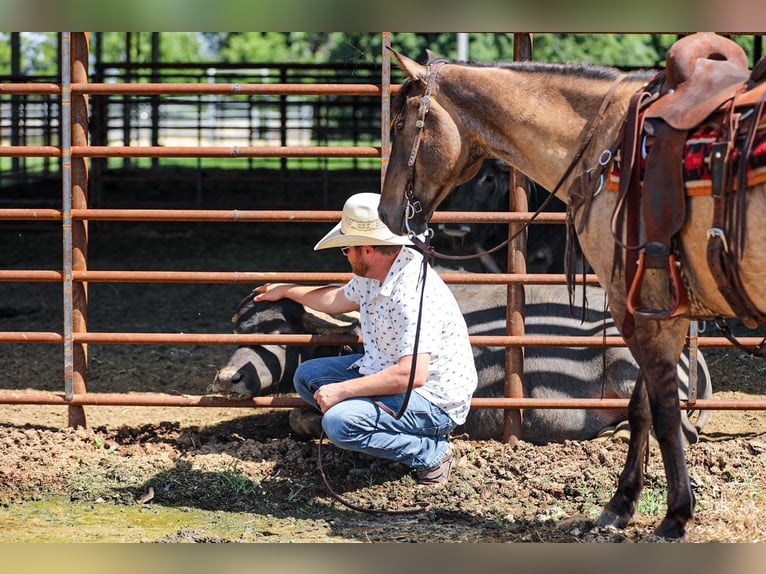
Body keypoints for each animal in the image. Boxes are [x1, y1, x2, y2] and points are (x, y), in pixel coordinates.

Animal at [378, 33, 766, 539]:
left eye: (401, 123)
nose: (386, 213)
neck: (606, 146)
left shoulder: (638, 307)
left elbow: (662, 413)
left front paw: (675, 515)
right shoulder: (661, 310)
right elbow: (644, 407)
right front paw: (621, 505)